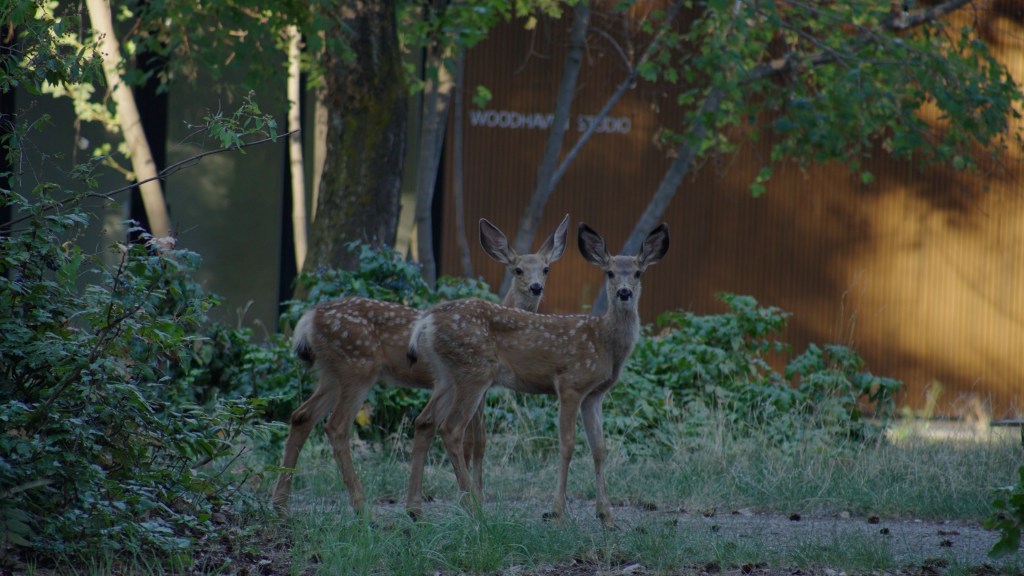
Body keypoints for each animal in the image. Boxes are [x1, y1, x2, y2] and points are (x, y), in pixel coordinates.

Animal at [271, 214, 569, 515]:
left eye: (546, 269)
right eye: (518, 270)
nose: (536, 287)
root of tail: (307, 320)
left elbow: (472, 439)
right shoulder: (478, 386)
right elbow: (476, 440)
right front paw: (474, 496)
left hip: (331, 373)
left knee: (302, 416)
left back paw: (282, 504)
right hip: (358, 367)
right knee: (336, 426)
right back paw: (360, 505)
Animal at [405, 222, 669, 527]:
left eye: (638, 272)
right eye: (610, 272)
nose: (624, 292)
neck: (604, 342)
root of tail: (427, 320)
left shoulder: (594, 395)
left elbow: (599, 448)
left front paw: (606, 515)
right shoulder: (570, 383)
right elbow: (567, 444)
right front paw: (557, 511)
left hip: (447, 376)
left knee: (425, 421)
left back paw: (415, 510)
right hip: (474, 372)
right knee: (451, 429)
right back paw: (473, 507)